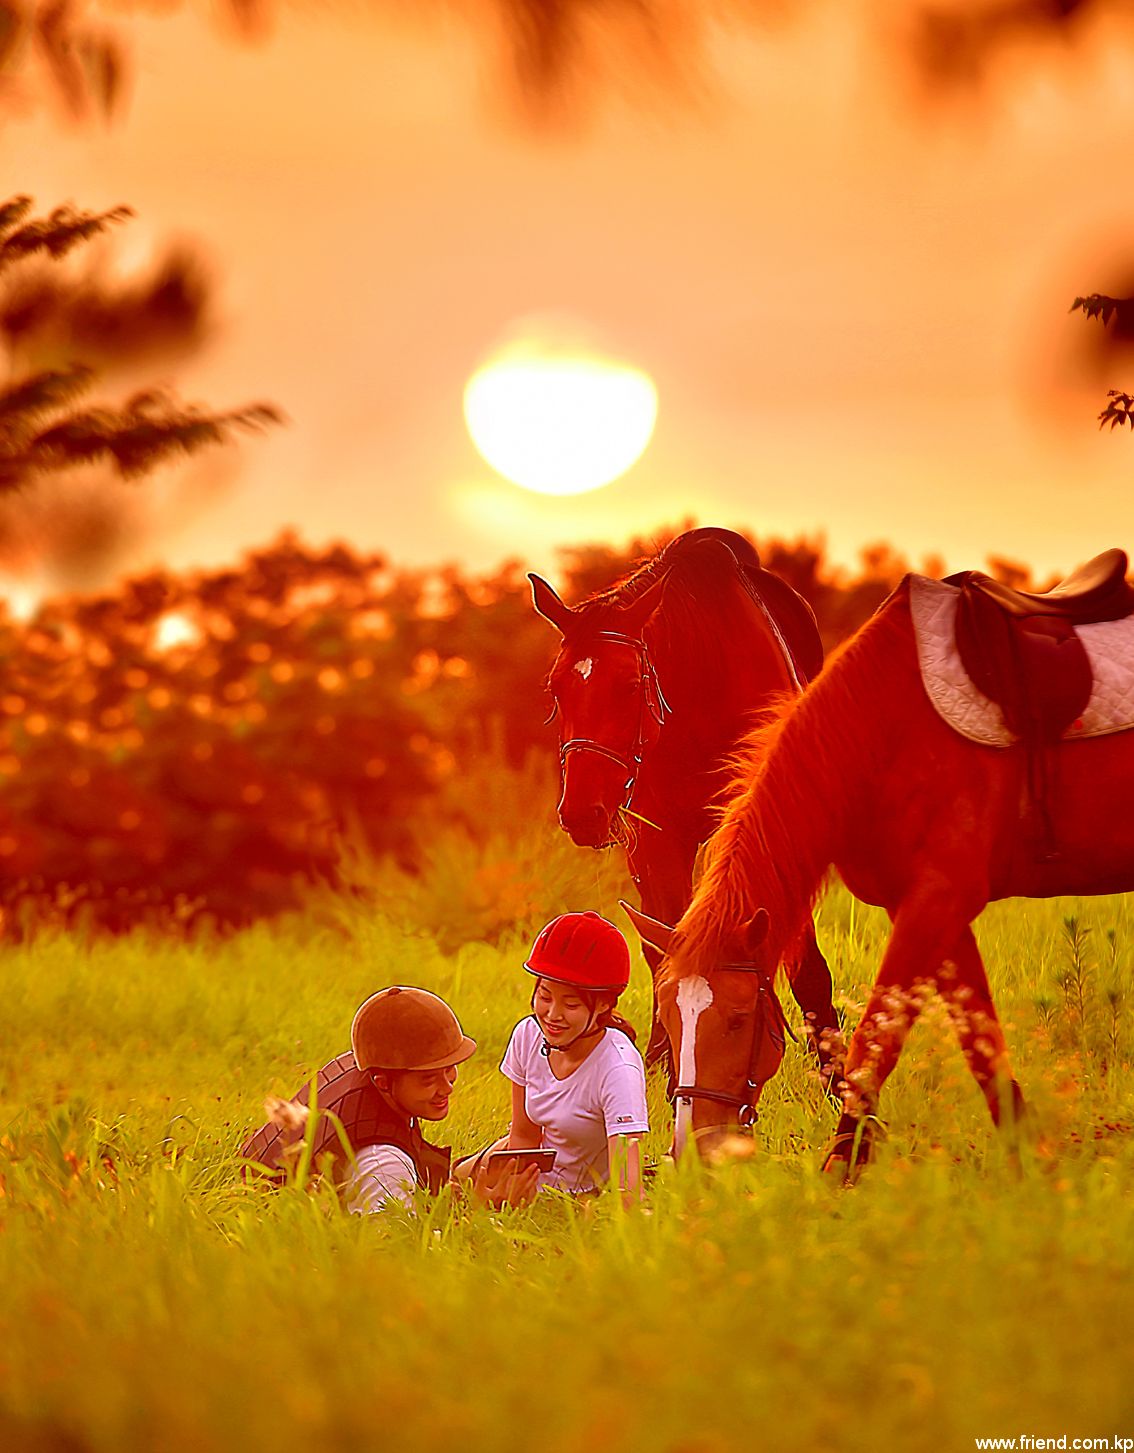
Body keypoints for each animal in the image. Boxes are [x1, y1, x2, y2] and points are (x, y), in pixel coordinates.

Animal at [532, 528, 843, 1075]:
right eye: (555, 688)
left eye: (629, 685)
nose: (582, 813)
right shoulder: (655, 842)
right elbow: (665, 945)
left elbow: (803, 963)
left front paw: (837, 1077)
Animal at [625, 566, 1134, 1168]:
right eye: (669, 1019)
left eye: (738, 1019)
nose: (694, 1151)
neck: (886, 727)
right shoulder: (934, 913)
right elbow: (980, 1043)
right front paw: (1027, 1160)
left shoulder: (937, 900)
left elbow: (875, 1043)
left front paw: (841, 1167)